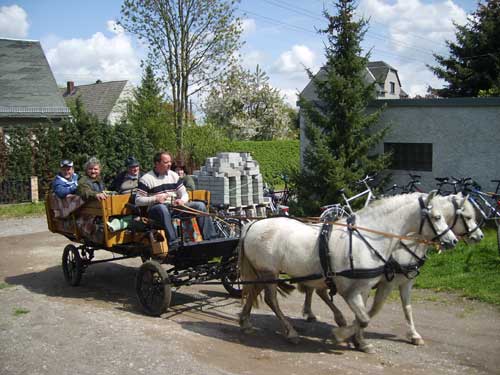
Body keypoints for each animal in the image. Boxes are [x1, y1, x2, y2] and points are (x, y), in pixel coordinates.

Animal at [238, 192, 458, 354]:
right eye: (437, 217)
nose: (453, 241)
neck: (368, 238)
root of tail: (253, 224)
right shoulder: (350, 291)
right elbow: (364, 318)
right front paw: (342, 334)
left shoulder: (365, 287)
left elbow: (365, 315)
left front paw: (360, 341)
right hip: (269, 272)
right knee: (271, 299)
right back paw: (290, 332)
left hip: (263, 272)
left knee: (254, 291)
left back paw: (245, 322)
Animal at [298, 192, 482, 348]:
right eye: (468, 217)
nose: (479, 236)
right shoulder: (386, 283)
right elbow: (373, 310)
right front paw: (353, 335)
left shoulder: (405, 282)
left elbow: (407, 308)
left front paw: (414, 335)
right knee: (315, 290)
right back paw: (322, 316)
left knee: (316, 290)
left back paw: (320, 314)